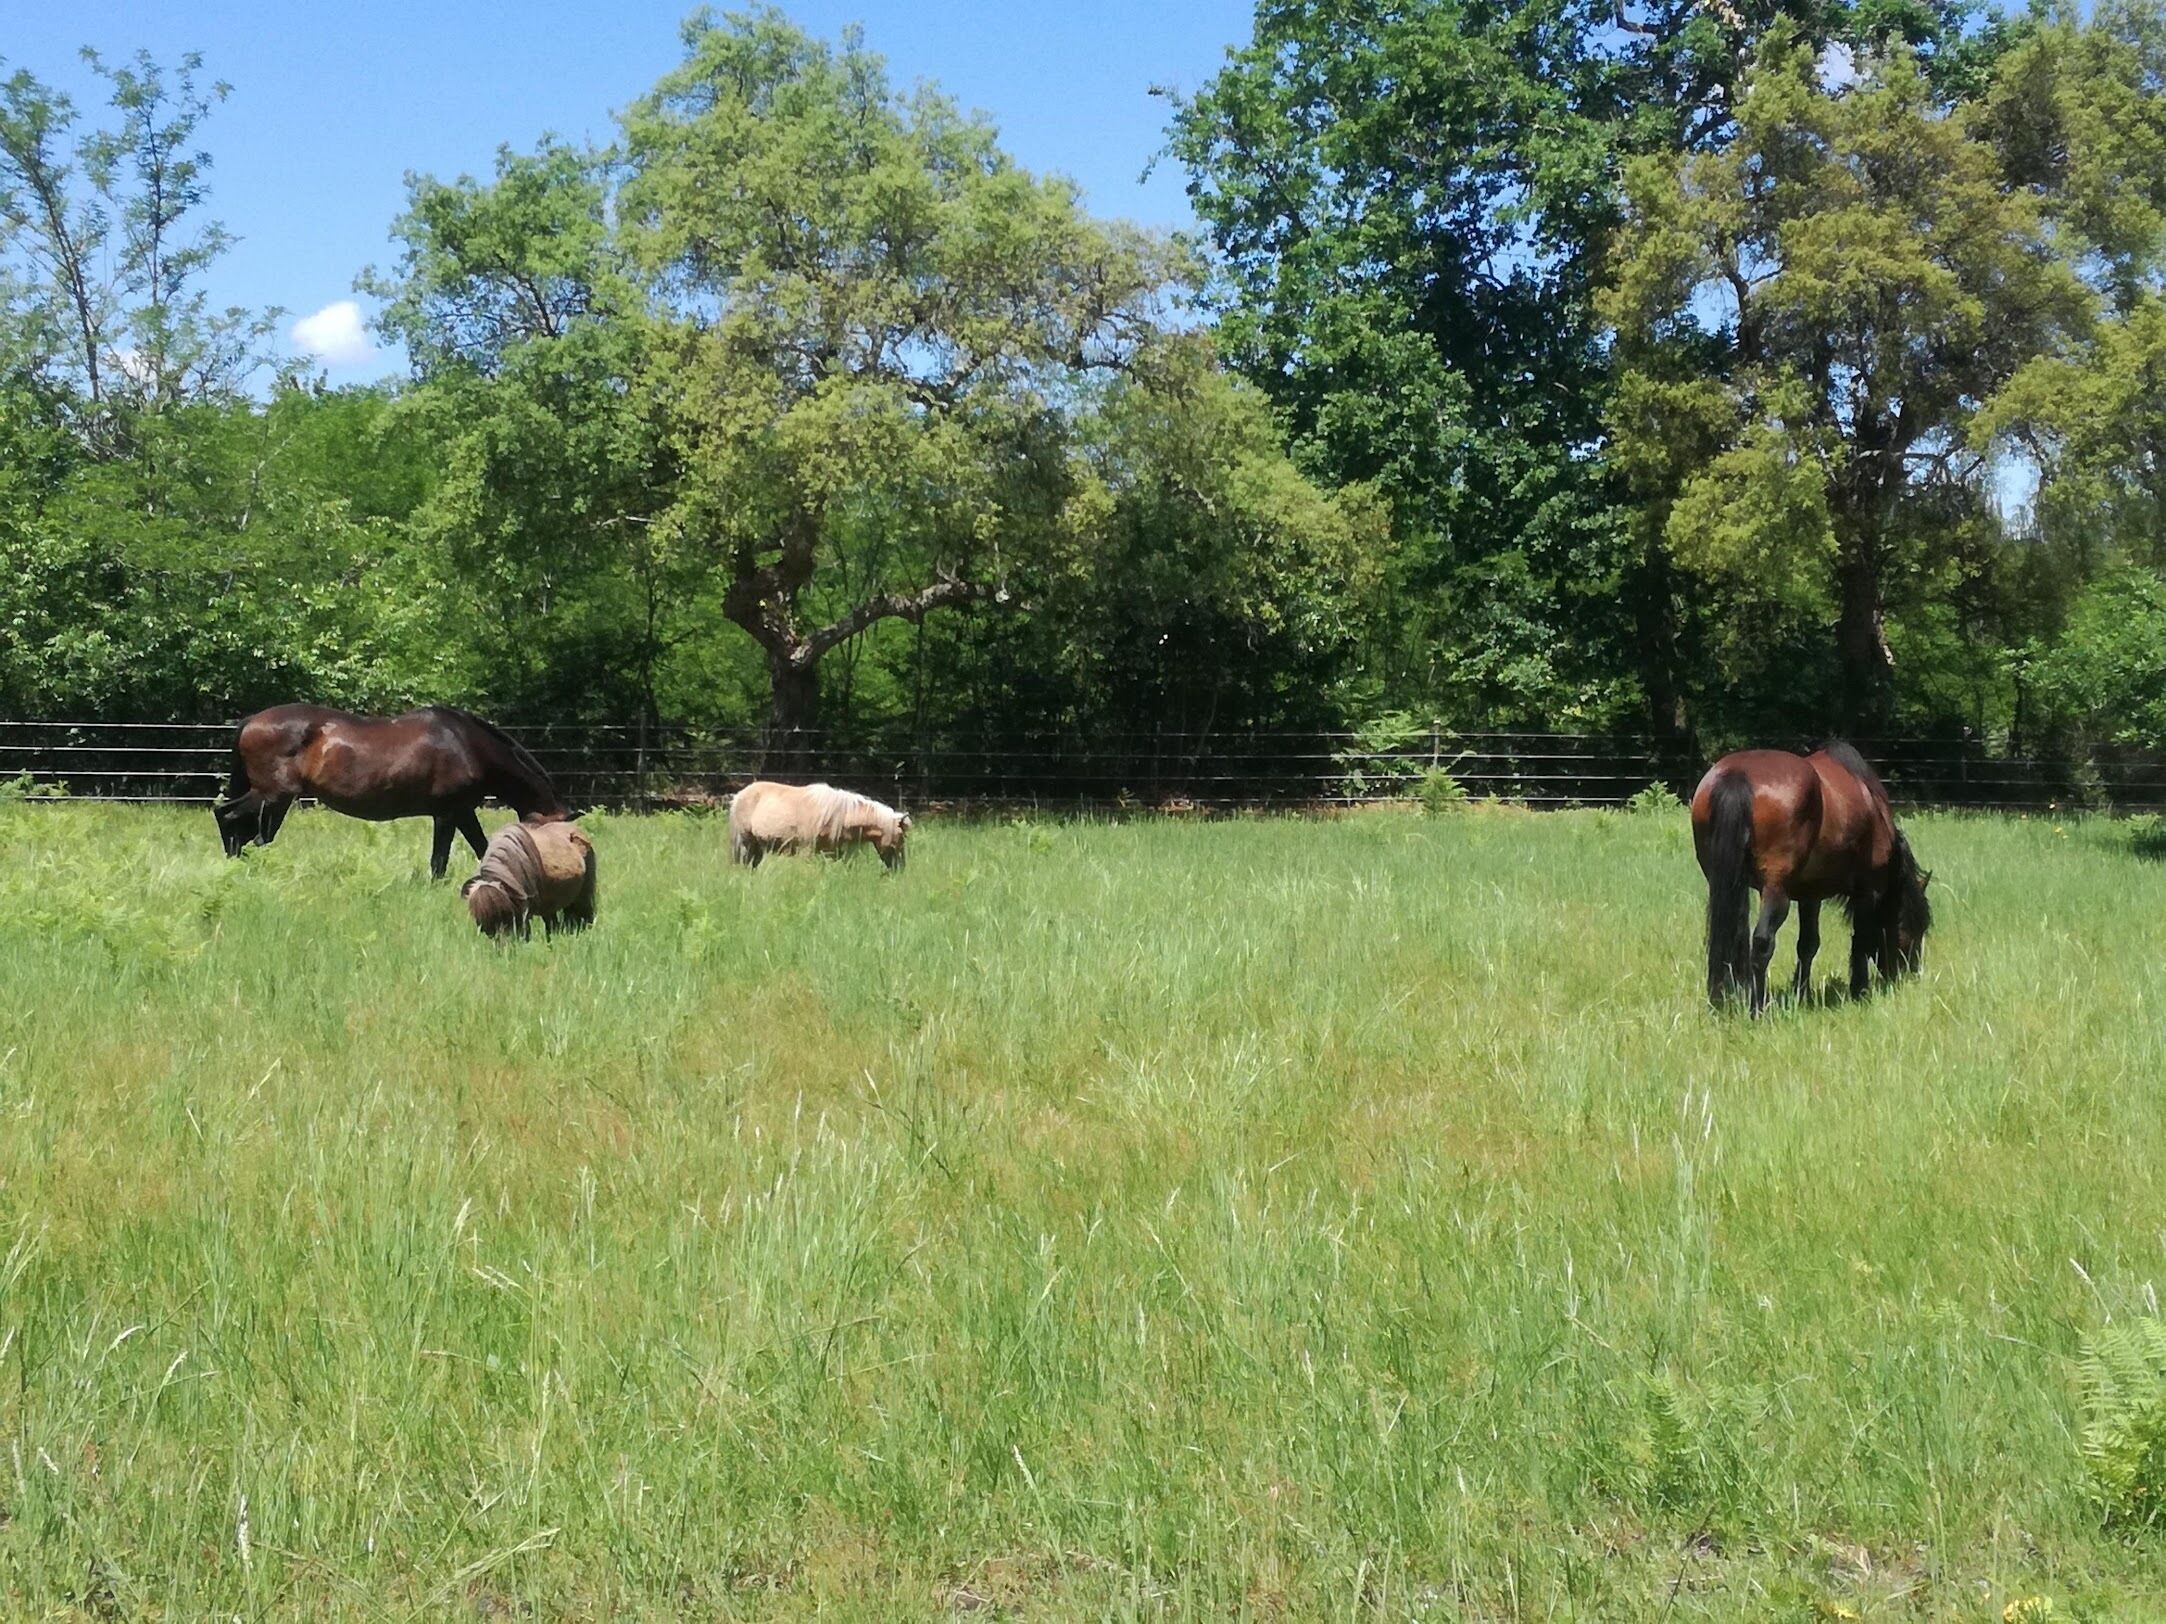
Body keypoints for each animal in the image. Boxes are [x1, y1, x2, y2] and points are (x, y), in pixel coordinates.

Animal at [212, 704, 565, 878]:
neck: (468, 744)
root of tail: (250, 721)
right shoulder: (450, 812)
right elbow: (442, 859)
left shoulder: (460, 812)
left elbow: (480, 848)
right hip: (271, 795)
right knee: (227, 816)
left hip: (275, 801)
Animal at [728, 781, 911, 870]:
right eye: (901, 837)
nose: (900, 868)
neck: (841, 815)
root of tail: (738, 796)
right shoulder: (807, 852)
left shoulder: (834, 853)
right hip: (746, 844)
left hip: (757, 847)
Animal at [1691, 741, 1932, 1013]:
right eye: (1915, 926)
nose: (1909, 974)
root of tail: (1737, 775)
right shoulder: (1868, 890)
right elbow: (1860, 939)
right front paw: (1859, 990)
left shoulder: (1810, 895)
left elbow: (1807, 945)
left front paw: (1801, 992)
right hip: (1775, 891)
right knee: (1762, 943)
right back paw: (1757, 1007)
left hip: (1724, 884)